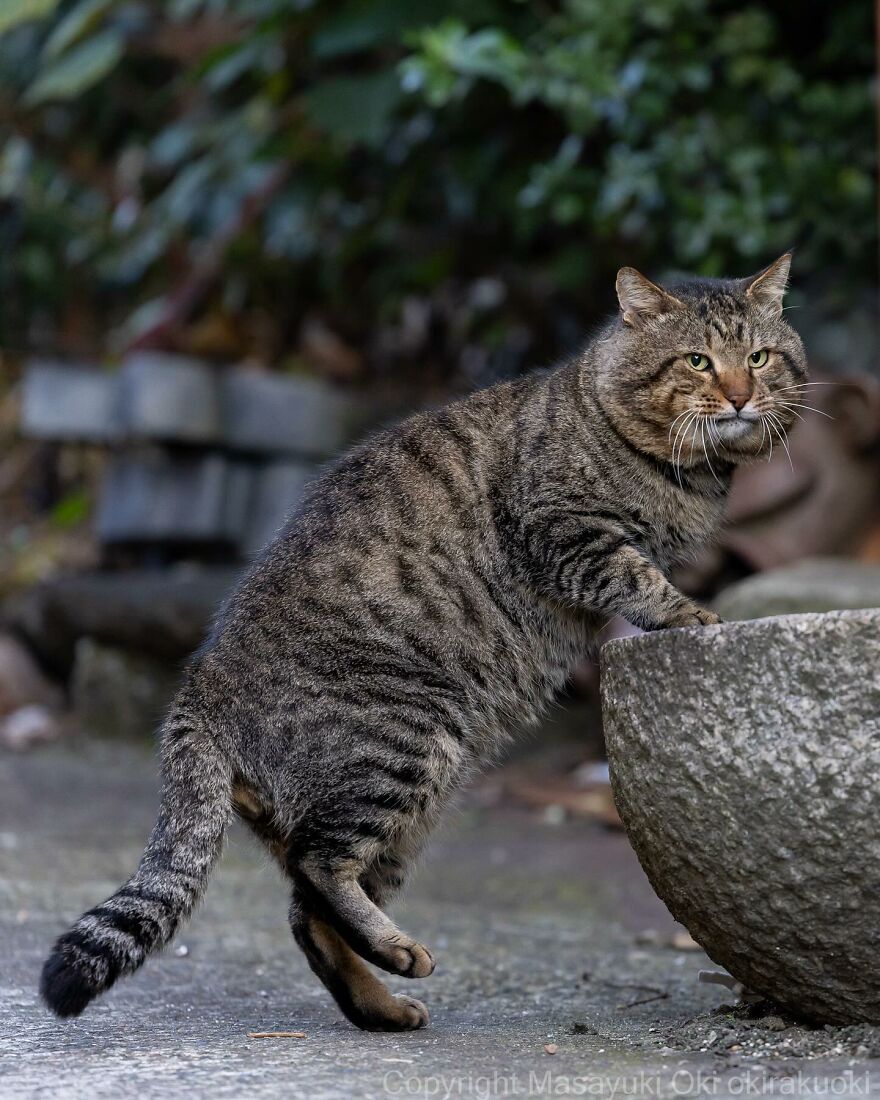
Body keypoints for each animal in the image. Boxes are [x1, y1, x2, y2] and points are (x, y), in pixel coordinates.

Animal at [44, 253, 809, 1025]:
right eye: (697, 361)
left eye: (758, 357)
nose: (741, 395)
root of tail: (197, 693)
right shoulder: (564, 533)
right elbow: (639, 577)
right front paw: (694, 615)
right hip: (404, 742)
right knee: (320, 865)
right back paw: (397, 954)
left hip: (417, 803)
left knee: (308, 909)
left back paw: (381, 1003)